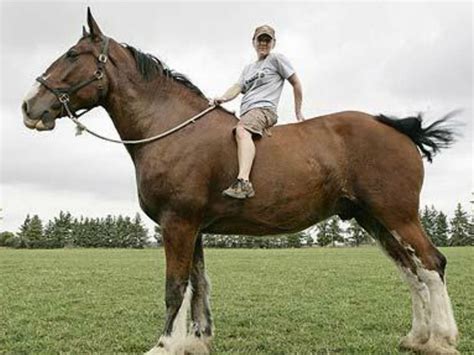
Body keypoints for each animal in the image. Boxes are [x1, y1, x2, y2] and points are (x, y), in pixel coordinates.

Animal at [21, 8, 460, 355]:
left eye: (72, 54)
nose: (29, 106)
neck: (171, 129)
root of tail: (396, 128)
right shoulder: (193, 227)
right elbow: (198, 285)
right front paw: (196, 341)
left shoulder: (178, 224)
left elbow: (175, 287)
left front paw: (164, 345)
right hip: (375, 220)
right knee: (411, 271)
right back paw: (417, 337)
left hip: (398, 215)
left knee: (431, 264)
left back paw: (441, 339)